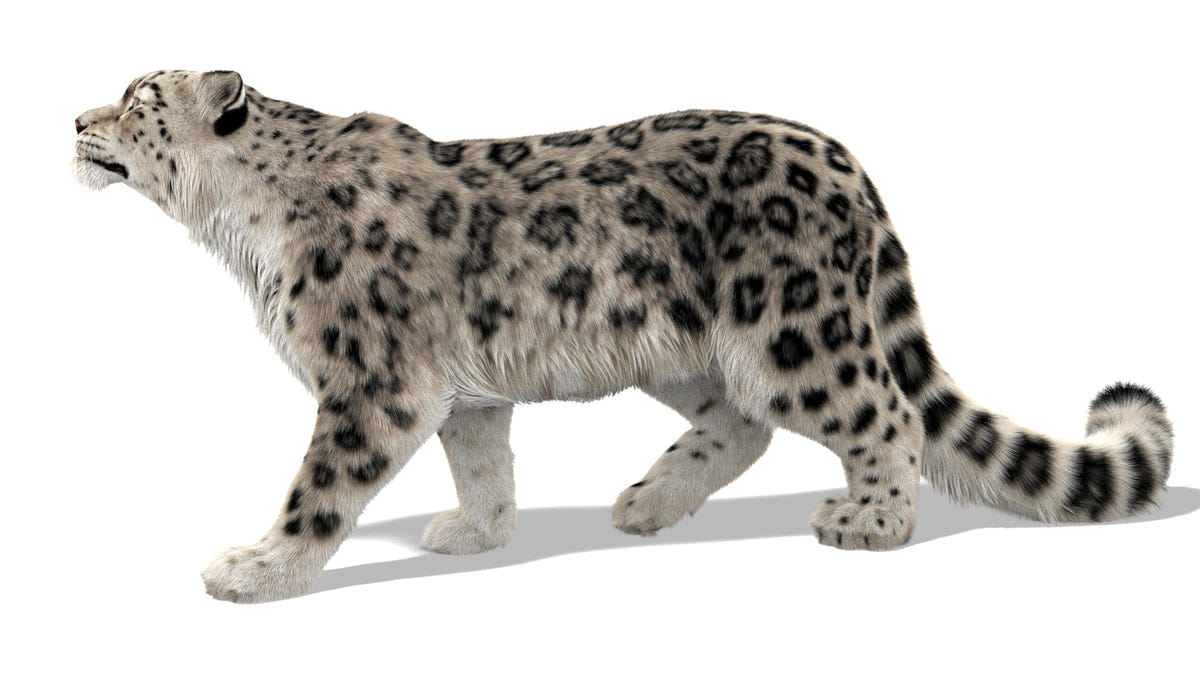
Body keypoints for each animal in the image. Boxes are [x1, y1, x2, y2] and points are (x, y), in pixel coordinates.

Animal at [73, 70, 1175, 603]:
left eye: (139, 99)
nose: (76, 120)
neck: (239, 232)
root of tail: (846, 161)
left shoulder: (370, 382)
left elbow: (319, 490)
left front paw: (254, 570)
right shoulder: (461, 391)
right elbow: (482, 461)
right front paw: (475, 533)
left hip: (797, 330)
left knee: (885, 411)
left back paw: (869, 521)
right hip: (686, 350)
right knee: (743, 423)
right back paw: (647, 501)